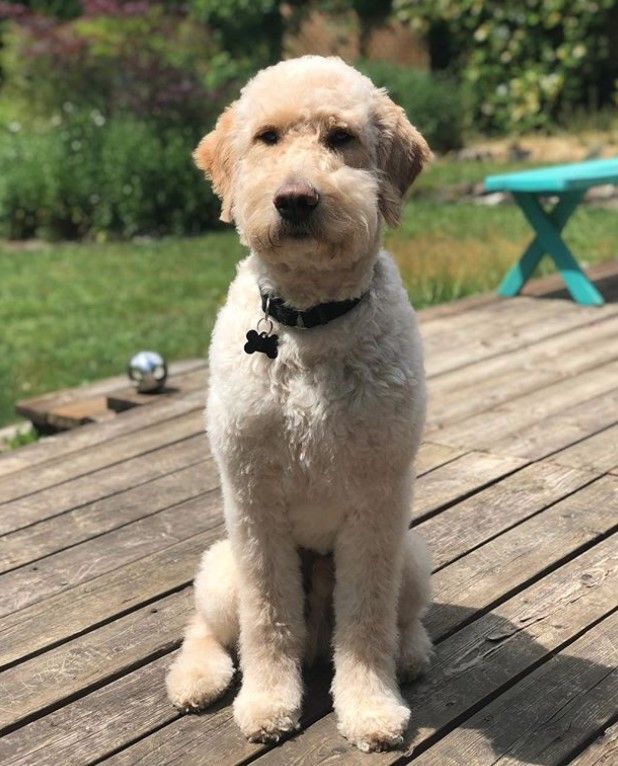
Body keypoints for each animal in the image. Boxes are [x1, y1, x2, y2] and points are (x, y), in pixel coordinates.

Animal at [166, 55, 430, 756]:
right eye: (268, 137)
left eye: (341, 137)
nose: (296, 198)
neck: (309, 324)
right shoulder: (254, 504)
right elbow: (268, 618)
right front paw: (266, 704)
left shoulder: (377, 504)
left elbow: (365, 621)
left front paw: (369, 708)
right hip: (221, 568)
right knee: (206, 627)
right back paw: (196, 678)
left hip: (413, 557)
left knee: (400, 617)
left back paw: (412, 653)